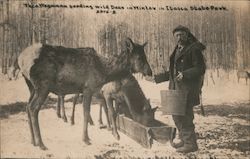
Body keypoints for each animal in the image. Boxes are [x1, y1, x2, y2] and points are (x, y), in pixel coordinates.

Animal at [18, 38, 152, 150]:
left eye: (145, 55)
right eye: (139, 57)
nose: (150, 71)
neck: (104, 71)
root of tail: (20, 60)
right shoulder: (88, 88)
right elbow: (87, 112)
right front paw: (86, 139)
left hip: (31, 87)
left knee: (27, 106)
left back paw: (33, 141)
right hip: (42, 86)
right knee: (33, 108)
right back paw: (41, 143)